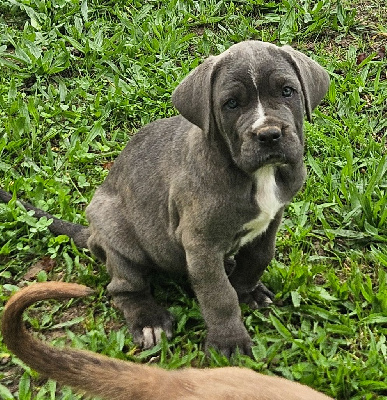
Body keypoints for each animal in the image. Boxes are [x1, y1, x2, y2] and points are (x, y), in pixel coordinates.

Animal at [0, 41, 330, 356]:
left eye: (287, 91)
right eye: (231, 104)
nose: (269, 134)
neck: (256, 174)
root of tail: (91, 232)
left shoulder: (271, 218)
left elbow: (260, 256)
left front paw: (247, 290)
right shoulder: (200, 242)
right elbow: (219, 296)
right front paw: (229, 341)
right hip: (118, 238)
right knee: (124, 288)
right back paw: (149, 320)